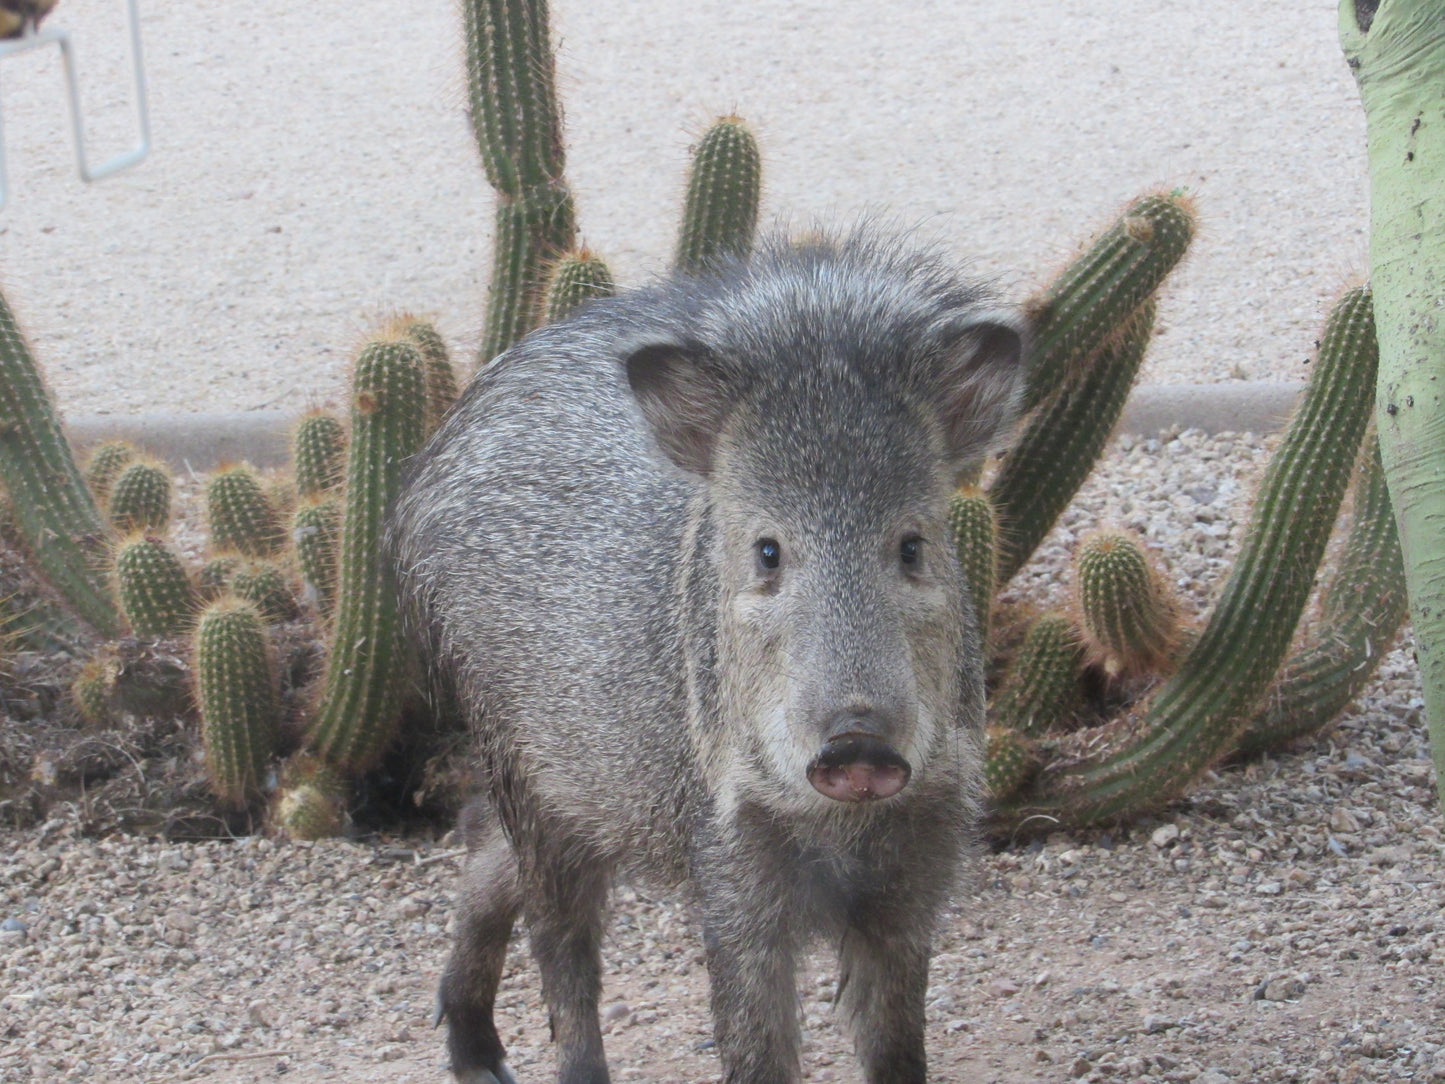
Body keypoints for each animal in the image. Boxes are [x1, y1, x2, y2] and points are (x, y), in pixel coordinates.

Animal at [388, 229, 1025, 1084]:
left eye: (913, 546)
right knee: (560, 947)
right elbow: (753, 1043)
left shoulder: (917, 866)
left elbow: (896, 1045)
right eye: (766, 551)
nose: (856, 741)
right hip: (523, 765)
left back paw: (475, 1054)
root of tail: (437, 453)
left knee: (484, 846)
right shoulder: (730, 866)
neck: (841, 821)